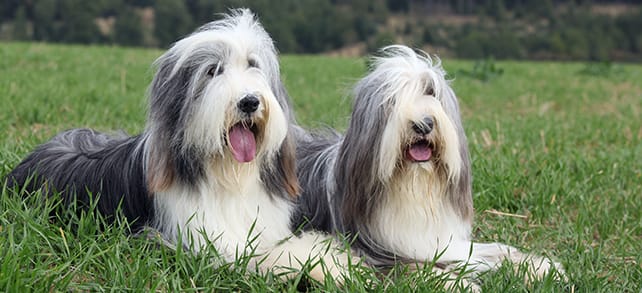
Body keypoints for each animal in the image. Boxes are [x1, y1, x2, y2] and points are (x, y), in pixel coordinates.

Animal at [5, 9, 352, 282]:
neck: (228, 175)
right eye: (213, 70)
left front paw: (336, 261)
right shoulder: (196, 242)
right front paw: (321, 266)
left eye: (253, 65)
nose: (250, 102)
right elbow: (259, 257)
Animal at [292, 45, 564, 288]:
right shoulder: (376, 254)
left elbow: (490, 252)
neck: (414, 186)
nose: (423, 124)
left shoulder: (445, 243)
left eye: (431, 92)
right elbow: (417, 269)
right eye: (392, 100)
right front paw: (458, 284)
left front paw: (541, 267)